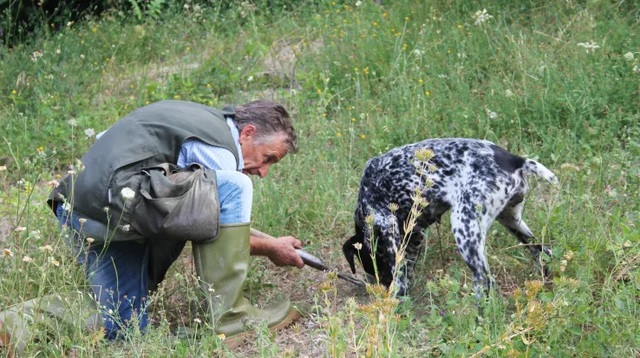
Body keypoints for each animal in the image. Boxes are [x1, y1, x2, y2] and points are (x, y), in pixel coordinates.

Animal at [342, 138, 556, 298]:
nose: (383, 285)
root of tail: (515, 159)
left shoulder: (388, 227)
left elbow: (400, 274)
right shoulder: (415, 236)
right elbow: (406, 273)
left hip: (466, 231)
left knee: (485, 280)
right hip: (513, 222)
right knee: (543, 253)